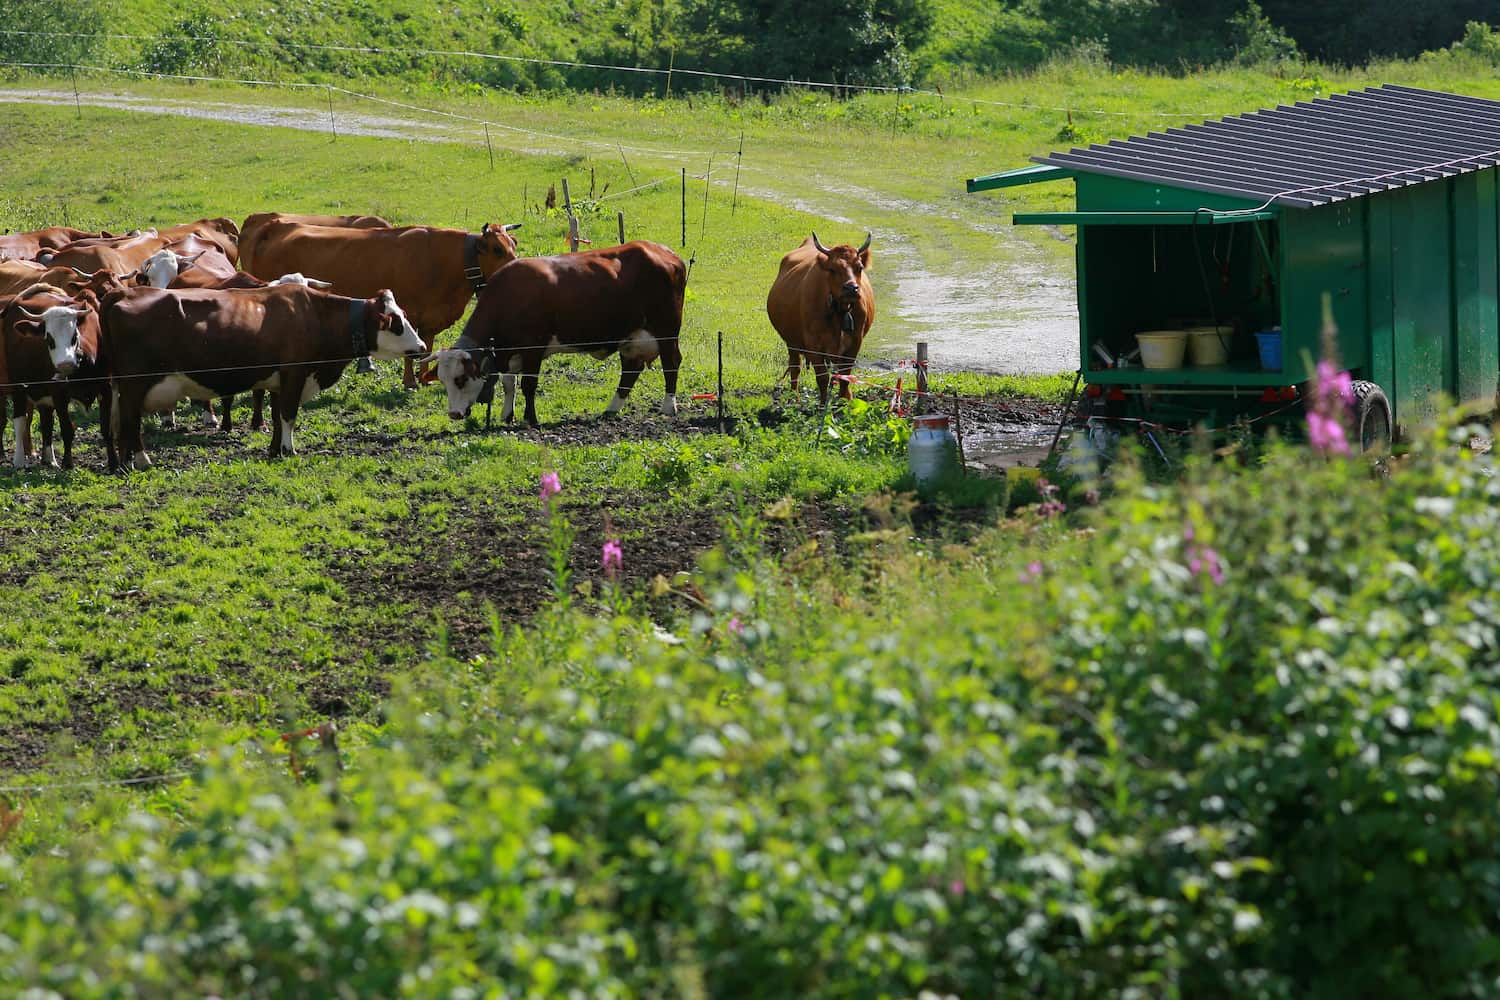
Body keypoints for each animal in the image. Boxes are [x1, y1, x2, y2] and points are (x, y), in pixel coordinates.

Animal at [1, 284, 107, 469]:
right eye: (48, 338)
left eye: (75, 335)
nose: (65, 364)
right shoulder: (59, 393)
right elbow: (67, 428)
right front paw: (68, 463)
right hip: (19, 387)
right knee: (20, 421)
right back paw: (19, 460)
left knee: (46, 421)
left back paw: (49, 459)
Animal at [101, 284, 425, 469]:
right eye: (396, 323)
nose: (422, 347)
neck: (315, 315)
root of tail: (125, 292)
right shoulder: (295, 373)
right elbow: (289, 414)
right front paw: (289, 450)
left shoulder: (280, 380)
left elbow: (277, 415)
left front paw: (275, 449)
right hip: (135, 383)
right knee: (130, 419)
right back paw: (142, 459)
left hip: (121, 386)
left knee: (121, 422)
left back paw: (124, 461)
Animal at [242, 220, 521, 388]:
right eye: (497, 249)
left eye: (513, 244)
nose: (518, 267)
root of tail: (278, 224)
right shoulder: (409, 314)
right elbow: (412, 352)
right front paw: (410, 382)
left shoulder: (430, 319)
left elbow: (426, 348)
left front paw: (424, 379)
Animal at [423, 240, 685, 427]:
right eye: (443, 380)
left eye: (460, 379)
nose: (454, 414)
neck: (510, 296)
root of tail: (662, 252)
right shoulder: (508, 351)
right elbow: (509, 384)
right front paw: (507, 415)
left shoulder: (533, 348)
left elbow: (528, 384)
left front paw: (530, 418)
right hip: (630, 338)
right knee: (630, 371)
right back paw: (611, 410)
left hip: (666, 332)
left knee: (671, 364)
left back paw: (668, 407)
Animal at [766, 232, 875, 404]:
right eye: (832, 269)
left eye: (859, 267)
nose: (851, 288)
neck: (839, 311)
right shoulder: (813, 344)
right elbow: (822, 378)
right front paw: (823, 405)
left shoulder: (855, 342)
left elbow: (845, 376)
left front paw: (844, 403)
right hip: (791, 342)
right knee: (795, 368)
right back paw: (795, 398)